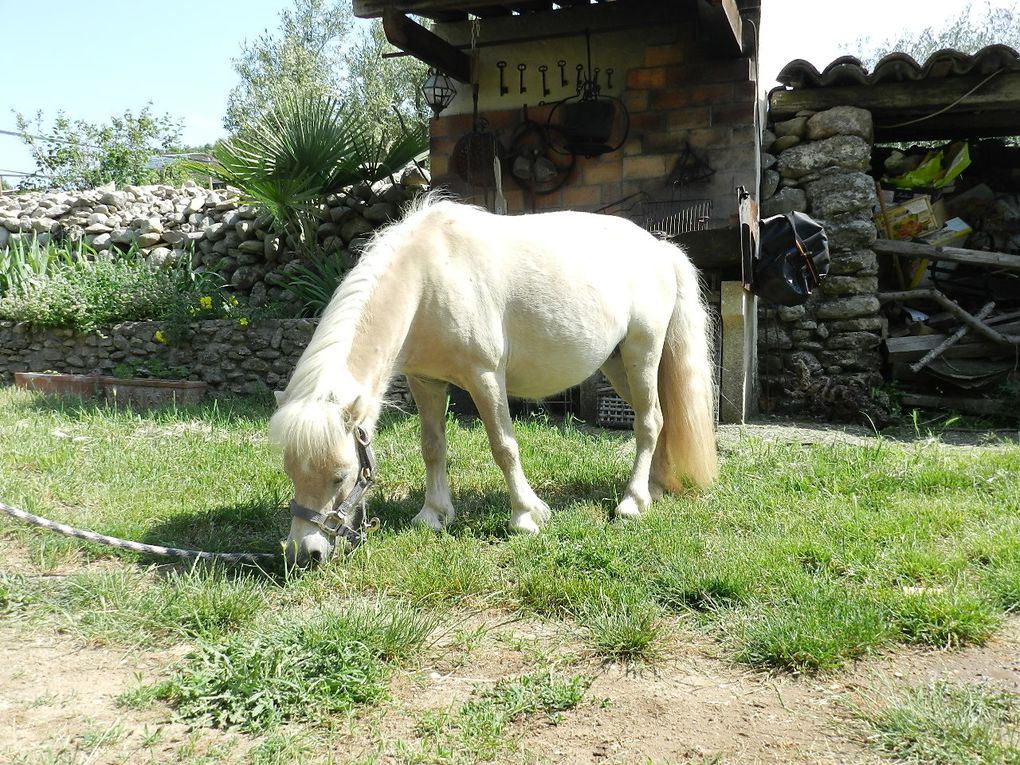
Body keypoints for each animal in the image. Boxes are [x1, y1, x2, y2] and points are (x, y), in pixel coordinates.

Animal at [271, 194, 718, 567]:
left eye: (340, 475)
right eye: (289, 471)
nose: (303, 554)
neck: (428, 278)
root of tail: (661, 249)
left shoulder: (484, 376)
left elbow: (504, 447)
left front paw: (526, 516)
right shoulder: (425, 382)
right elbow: (432, 447)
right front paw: (434, 515)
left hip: (642, 352)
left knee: (648, 422)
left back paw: (632, 501)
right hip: (617, 364)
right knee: (660, 418)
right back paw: (654, 489)